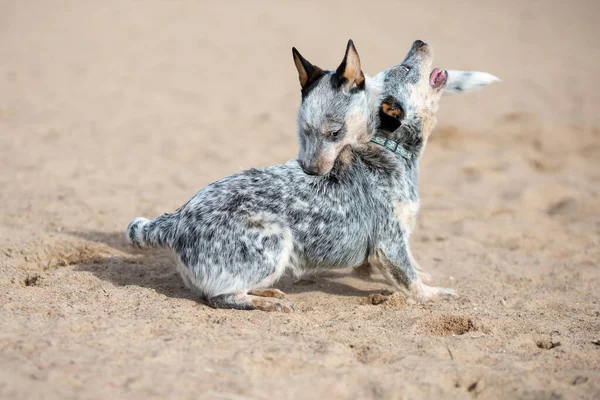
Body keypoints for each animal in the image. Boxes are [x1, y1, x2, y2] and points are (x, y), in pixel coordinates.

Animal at [125, 39, 496, 312]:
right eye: (403, 68)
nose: (419, 41)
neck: (387, 148)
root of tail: (175, 220)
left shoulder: (399, 235)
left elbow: (413, 265)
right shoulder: (389, 242)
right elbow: (410, 280)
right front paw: (435, 293)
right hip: (275, 239)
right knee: (220, 297)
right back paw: (265, 302)